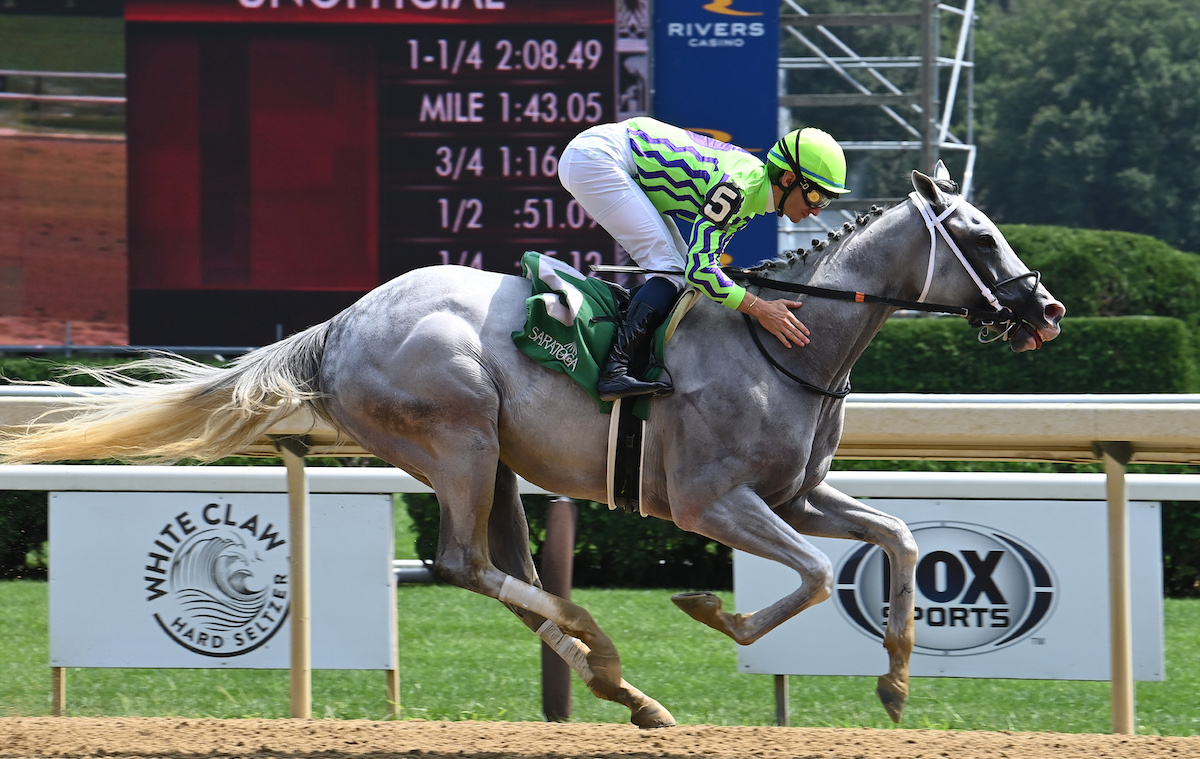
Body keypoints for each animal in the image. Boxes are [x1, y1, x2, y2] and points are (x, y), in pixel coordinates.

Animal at [0, 166, 1065, 730]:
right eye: (980, 237)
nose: (1046, 310)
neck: (785, 342)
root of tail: (340, 326)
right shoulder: (711, 500)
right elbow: (804, 576)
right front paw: (712, 611)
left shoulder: (797, 493)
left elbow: (896, 539)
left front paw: (894, 678)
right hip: (459, 439)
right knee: (463, 563)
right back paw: (603, 649)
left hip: (498, 464)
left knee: (495, 572)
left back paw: (621, 683)